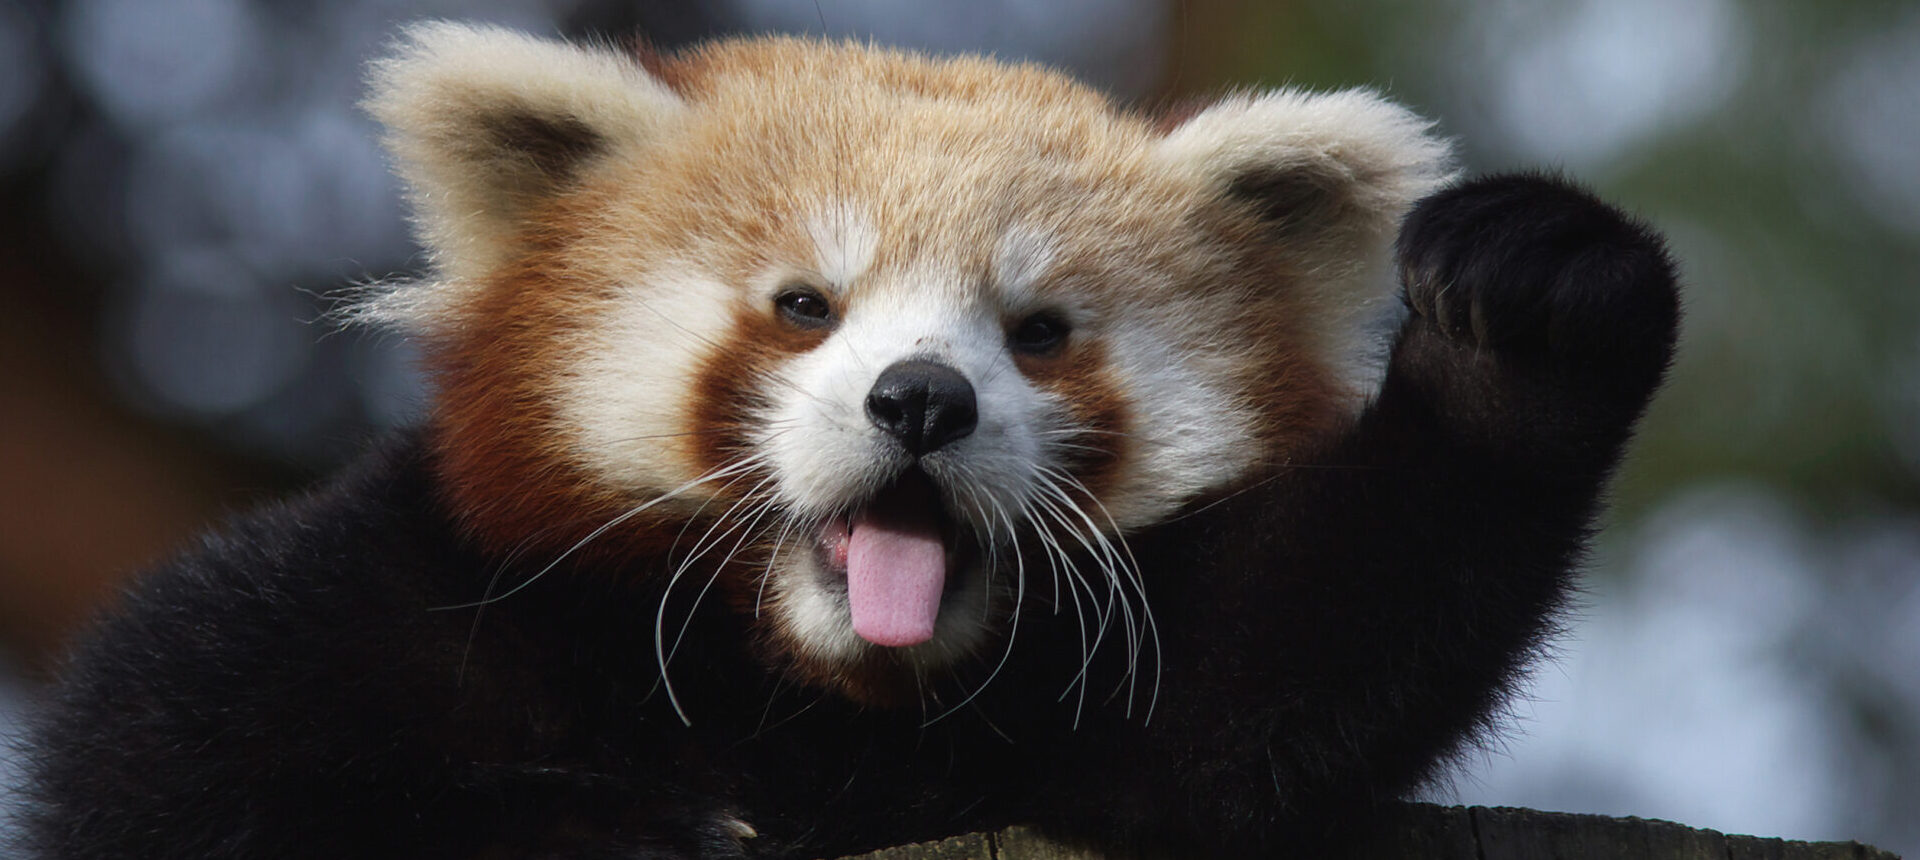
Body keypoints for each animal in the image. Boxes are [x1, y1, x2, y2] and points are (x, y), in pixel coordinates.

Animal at [17, 22, 1678, 859]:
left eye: (1038, 331)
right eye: (805, 306)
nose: (922, 401)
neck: (811, 704)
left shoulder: (1100, 712)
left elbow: (1291, 671)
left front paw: (1519, 329)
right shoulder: (413, 588)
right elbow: (166, 766)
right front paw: (619, 827)